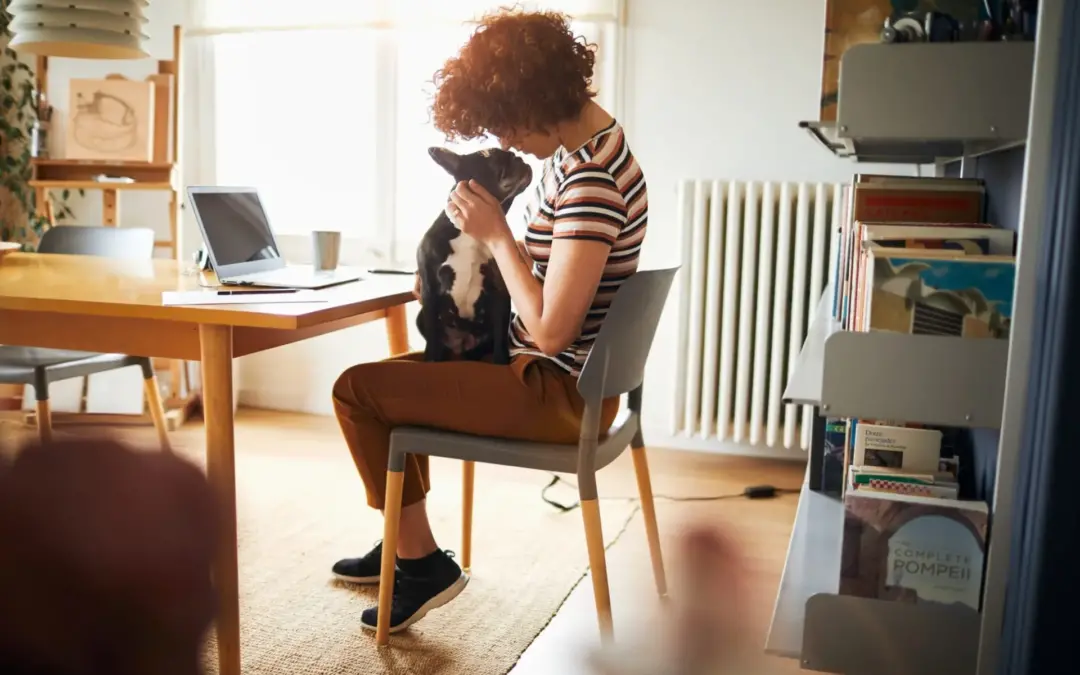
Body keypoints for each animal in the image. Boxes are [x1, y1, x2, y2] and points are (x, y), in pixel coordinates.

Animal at [412, 149, 531, 362]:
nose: (516, 155)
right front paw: (432, 359)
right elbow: (433, 335)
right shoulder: (429, 290)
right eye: (488, 154)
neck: (471, 233)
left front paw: (501, 361)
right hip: (421, 317)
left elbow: (501, 335)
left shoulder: (500, 291)